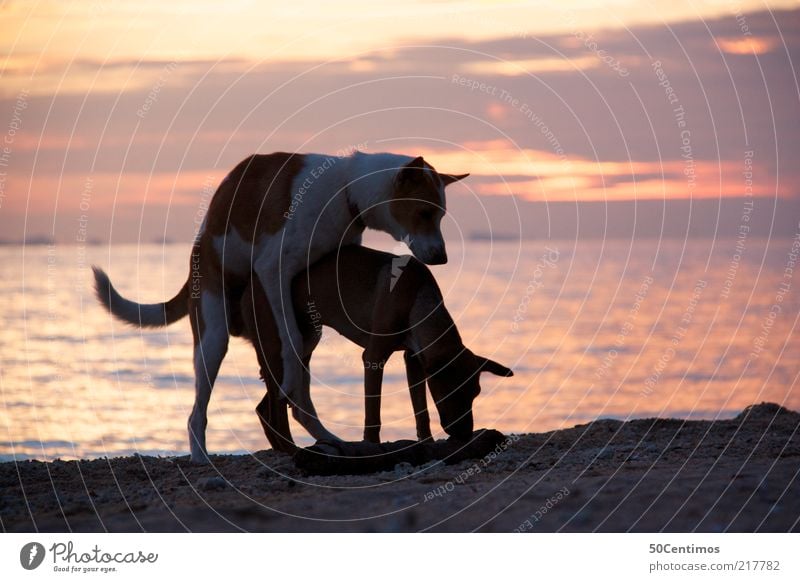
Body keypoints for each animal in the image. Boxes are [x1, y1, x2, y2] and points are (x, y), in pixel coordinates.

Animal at [94, 153, 468, 464]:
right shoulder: (273, 270)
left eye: (440, 215)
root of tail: (198, 249)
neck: (344, 189)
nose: (442, 259)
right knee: (198, 412)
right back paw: (201, 455)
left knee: (300, 402)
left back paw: (330, 440)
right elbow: (288, 338)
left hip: (301, 334)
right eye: (424, 212)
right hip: (213, 336)